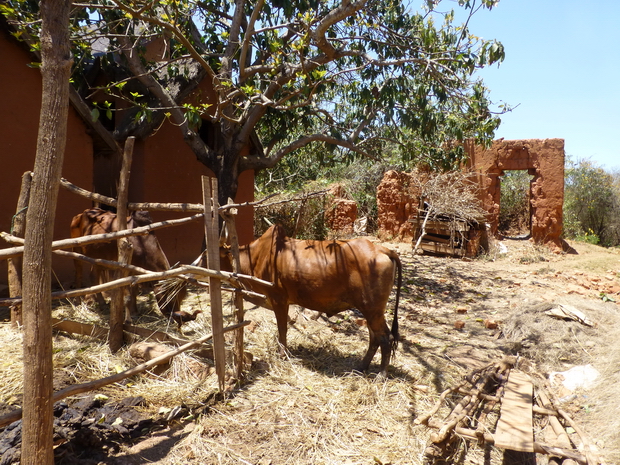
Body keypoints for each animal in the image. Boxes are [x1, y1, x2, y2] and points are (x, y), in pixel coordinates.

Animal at [69, 208, 197, 324]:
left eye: (182, 297)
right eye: (171, 296)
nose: (179, 318)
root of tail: (82, 213)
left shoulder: (137, 272)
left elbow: (134, 291)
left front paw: (135, 311)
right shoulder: (126, 269)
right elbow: (128, 296)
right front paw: (129, 318)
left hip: (97, 259)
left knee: (93, 277)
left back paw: (102, 304)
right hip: (76, 249)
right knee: (78, 274)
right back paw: (77, 301)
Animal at [222, 223, 402, 376]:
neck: (257, 256)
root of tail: (382, 249)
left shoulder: (279, 299)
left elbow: (282, 329)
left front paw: (283, 354)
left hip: (373, 310)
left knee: (386, 338)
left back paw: (381, 375)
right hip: (371, 311)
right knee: (375, 338)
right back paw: (361, 367)